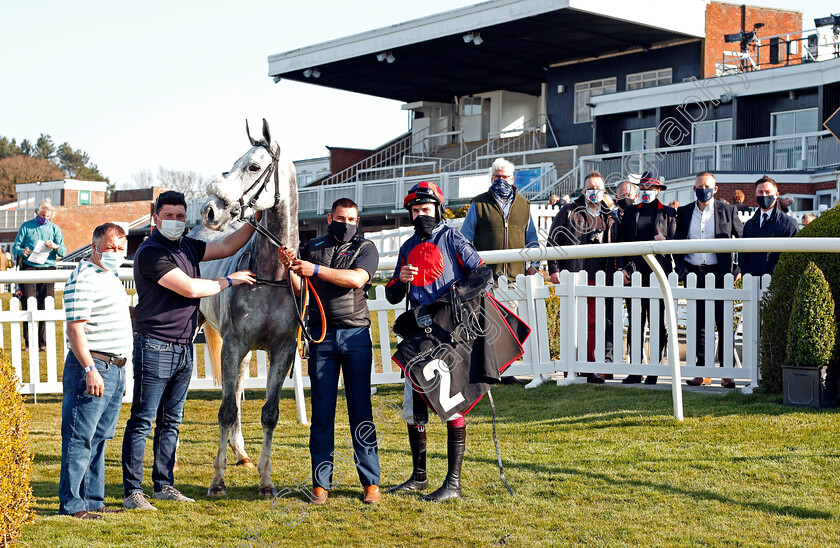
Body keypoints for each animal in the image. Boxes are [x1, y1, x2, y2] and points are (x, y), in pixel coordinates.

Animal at [189, 120, 298, 496]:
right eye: (232, 163)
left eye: (252, 166)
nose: (210, 210)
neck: (271, 276)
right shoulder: (233, 344)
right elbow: (225, 410)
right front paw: (217, 481)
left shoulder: (282, 350)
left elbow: (268, 412)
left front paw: (265, 481)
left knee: (236, 391)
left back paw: (241, 454)